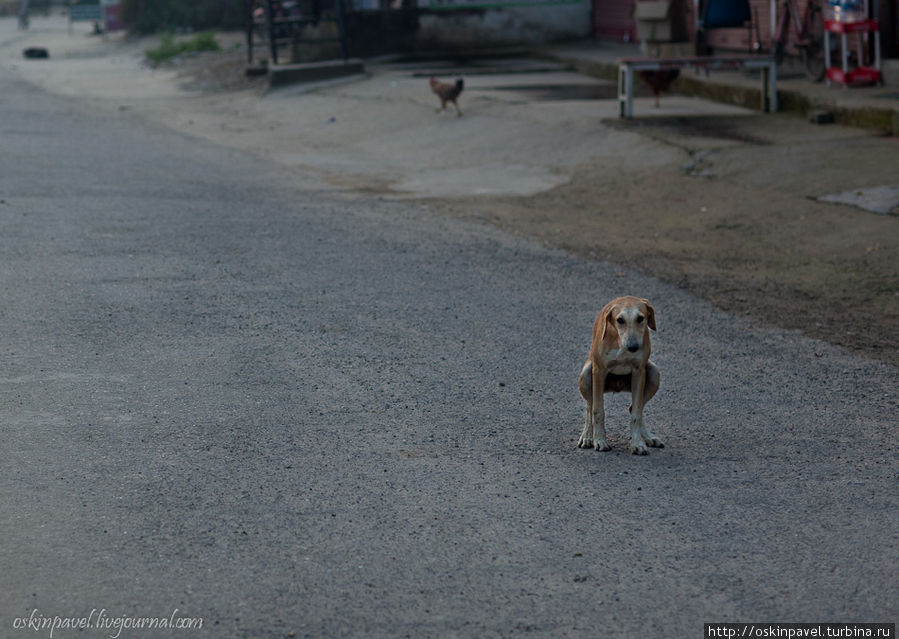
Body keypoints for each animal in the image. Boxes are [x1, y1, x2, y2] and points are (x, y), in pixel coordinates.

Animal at [576, 296, 660, 456]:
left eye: (640, 318)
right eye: (620, 320)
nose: (633, 347)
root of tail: (617, 386)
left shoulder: (639, 371)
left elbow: (636, 414)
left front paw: (637, 443)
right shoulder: (599, 371)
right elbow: (597, 411)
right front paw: (600, 440)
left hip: (654, 373)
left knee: (635, 408)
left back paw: (648, 437)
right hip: (586, 375)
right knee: (589, 407)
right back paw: (587, 436)